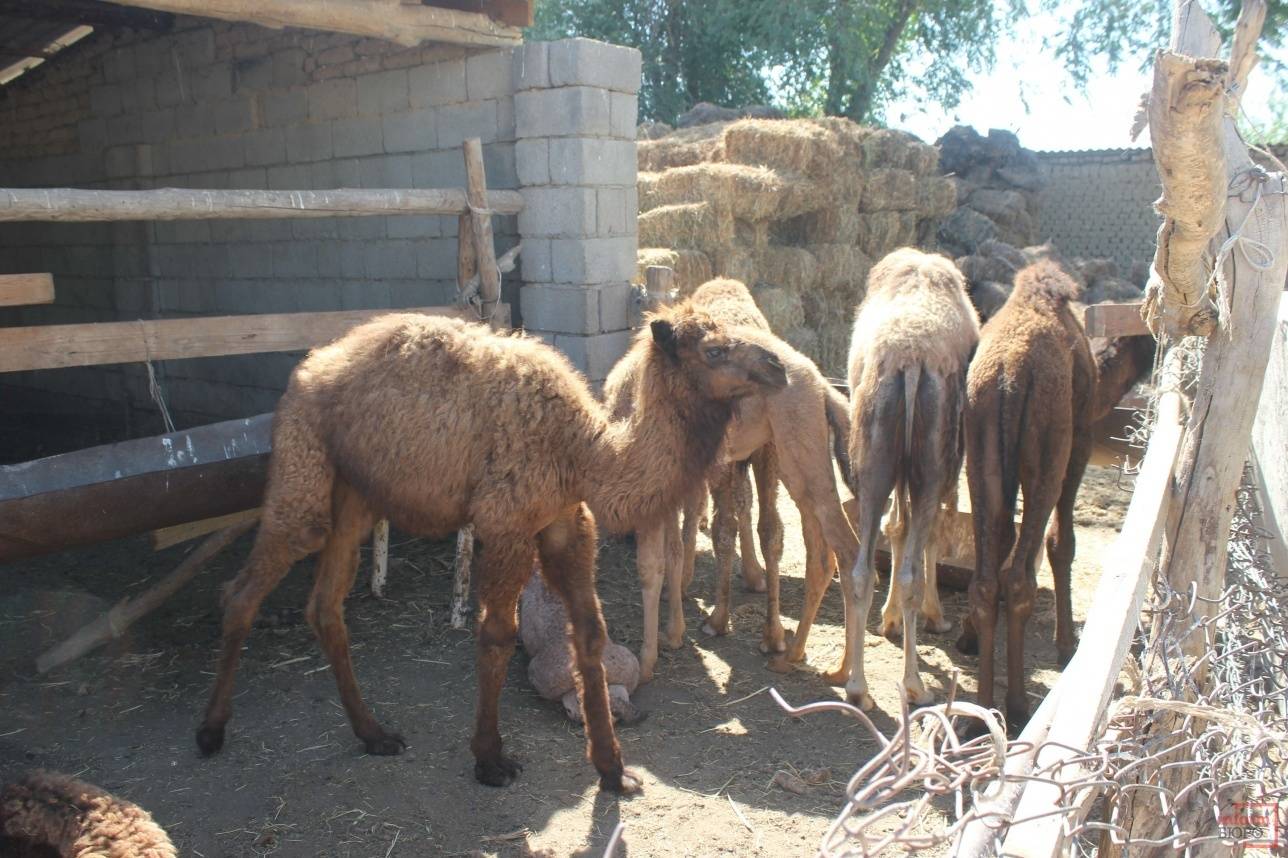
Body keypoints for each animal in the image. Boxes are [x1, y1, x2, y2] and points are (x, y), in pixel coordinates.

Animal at [190, 305, 783, 788]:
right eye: (713, 348)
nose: (777, 364)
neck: (584, 453)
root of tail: (307, 370)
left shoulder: (565, 522)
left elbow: (590, 635)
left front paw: (614, 771)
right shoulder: (507, 523)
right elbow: (497, 636)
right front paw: (491, 760)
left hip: (356, 496)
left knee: (325, 606)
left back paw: (375, 735)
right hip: (303, 471)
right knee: (245, 588)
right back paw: (210, 732)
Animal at [600, 280, 860, 680]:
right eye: (713, 350)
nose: (774, 365)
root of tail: (823, 387)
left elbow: (659, 559)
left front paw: (652, 653)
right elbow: (670, 552)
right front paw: (672, 630)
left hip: (791, 454)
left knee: (839, 547)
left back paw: (847, 677)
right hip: (802, 461)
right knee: (817, 550)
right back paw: (793, 653)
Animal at [844, 243, 973, 705]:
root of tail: (910, 360)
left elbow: (895, 528)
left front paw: (889, 620)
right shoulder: (946, 465)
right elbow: (931, 533)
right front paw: (936, 616)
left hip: (873, 455)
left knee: (862, 567)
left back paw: (857, 687)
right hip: (934, 460)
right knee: (912, 567)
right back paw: (915, 685)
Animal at [958, 257, 1097, 726]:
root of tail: (1011, 372)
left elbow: (999, 540)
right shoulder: (1080, 440)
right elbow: (1061, 542)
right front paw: (1066, 645)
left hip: (979, 448)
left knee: (987, 578)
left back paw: (979, 711)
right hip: (1050, 451)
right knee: (1020, 576)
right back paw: (1017, 706)